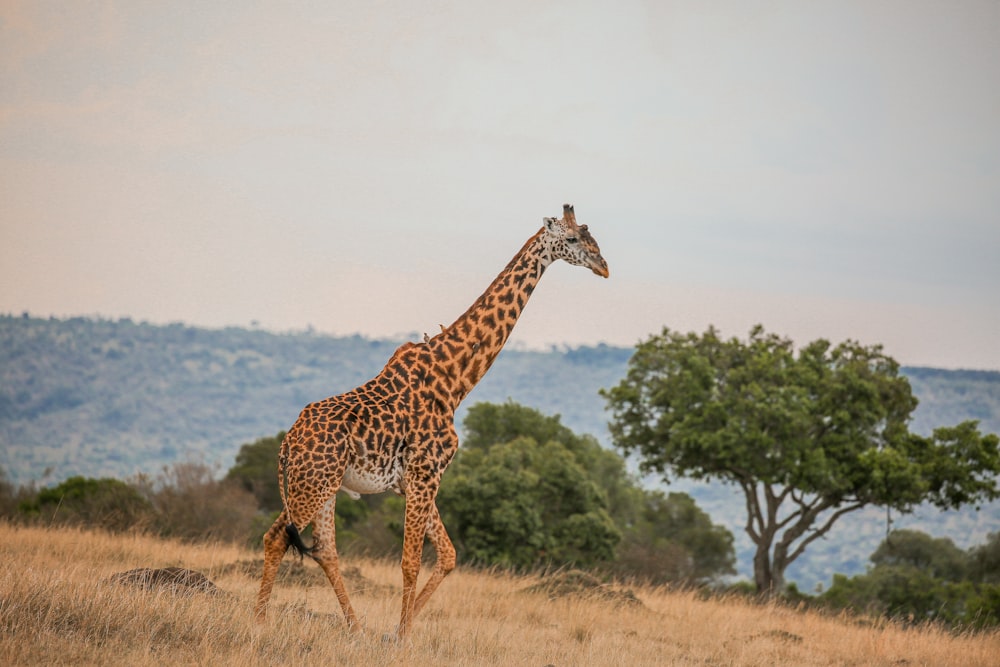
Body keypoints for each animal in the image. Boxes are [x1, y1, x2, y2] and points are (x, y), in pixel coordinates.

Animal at [250, 204, 608, 636]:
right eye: (572, 239)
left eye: (591, 235)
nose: (604, 267)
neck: (456, 379)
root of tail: (287, 444)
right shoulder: (426, 473)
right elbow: (410, 562)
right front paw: (402, 636)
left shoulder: (416, 480)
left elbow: (449, 555)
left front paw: (397, 630)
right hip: (312, 484)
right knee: (277, 538)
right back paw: (259, 622)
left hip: (326, 485)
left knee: (325, 550)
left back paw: (355, 626)